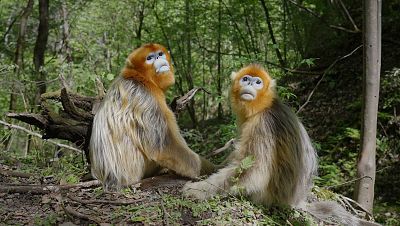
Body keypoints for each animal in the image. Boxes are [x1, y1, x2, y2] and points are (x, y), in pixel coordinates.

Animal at [90, 43, 216, 189]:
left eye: (160, 54)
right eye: (150, 58)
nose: (158, 58)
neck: (140, 78)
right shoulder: (147, 98)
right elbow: (163, 148)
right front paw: (211, 168)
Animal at [183, 64, 380, 226]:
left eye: (258, 82)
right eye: (245, 78)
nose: (250, 84)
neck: (262, 107)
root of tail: (295, 200)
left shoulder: (263, 125)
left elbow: (255, 172)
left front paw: (198, 190)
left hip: (270, 194)